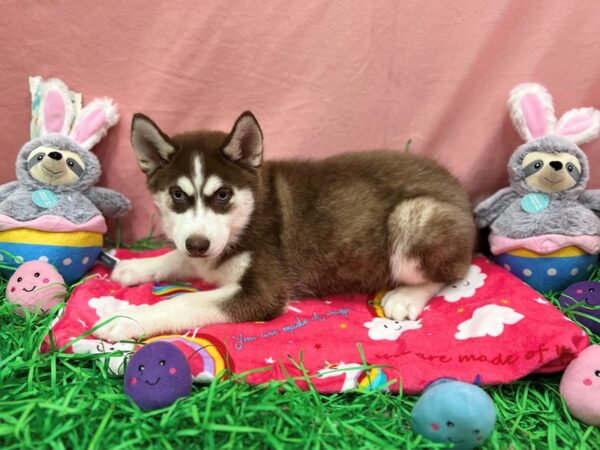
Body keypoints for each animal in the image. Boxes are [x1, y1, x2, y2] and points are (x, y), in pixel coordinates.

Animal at [96, 111, 476, 342]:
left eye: (223, 194)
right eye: (177, 194)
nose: (198, 244)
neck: (248, 218)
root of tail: (459, 190)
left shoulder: (264, 292)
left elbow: (184, 302)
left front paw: (127, 320)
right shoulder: (201, 250)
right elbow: (177, 257)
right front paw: (135, 267)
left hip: (413, 216)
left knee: (455, 270)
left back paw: (407, 297)